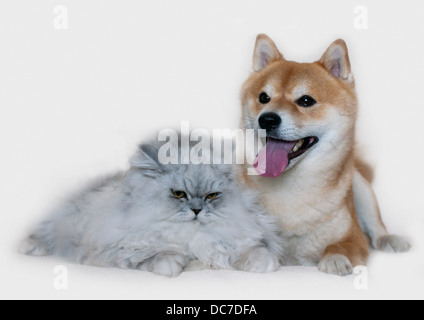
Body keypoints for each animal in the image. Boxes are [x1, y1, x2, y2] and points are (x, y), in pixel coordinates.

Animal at [20, 131, 284, 276]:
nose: (197, 210)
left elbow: (255, 251)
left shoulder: (241, 239)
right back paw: (30, 248)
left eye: (211, 196)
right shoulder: (118, 249)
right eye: (178, 194)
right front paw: (173, 265)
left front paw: (264, 265)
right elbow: (156, 253)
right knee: (42, 235)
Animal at [240, 34, 410, 276]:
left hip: (361, 189)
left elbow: (338, 245)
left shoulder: (354, 238)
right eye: (264, 97)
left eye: (305, 101)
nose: (267, 119)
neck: (291, 193)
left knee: (377, 230)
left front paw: (335, 259)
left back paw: (391, 240)